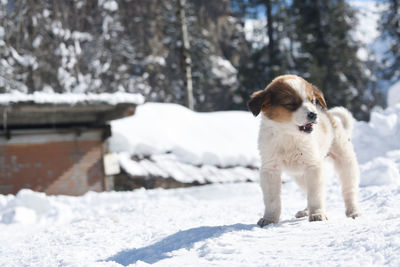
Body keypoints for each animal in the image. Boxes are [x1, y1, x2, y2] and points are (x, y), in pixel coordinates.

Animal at [248, 74, 360, 227]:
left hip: (345, 163)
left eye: (312, 101)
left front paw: (317, 214)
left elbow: (315, 194)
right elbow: (272, 199)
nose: (313, 114)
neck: (289, 136)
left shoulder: (313, 166)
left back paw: (353, 211)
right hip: (300, 176)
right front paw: (270, 218)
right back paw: (305, 211)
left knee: (349, 191)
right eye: (291, 104)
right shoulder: (270, 169)